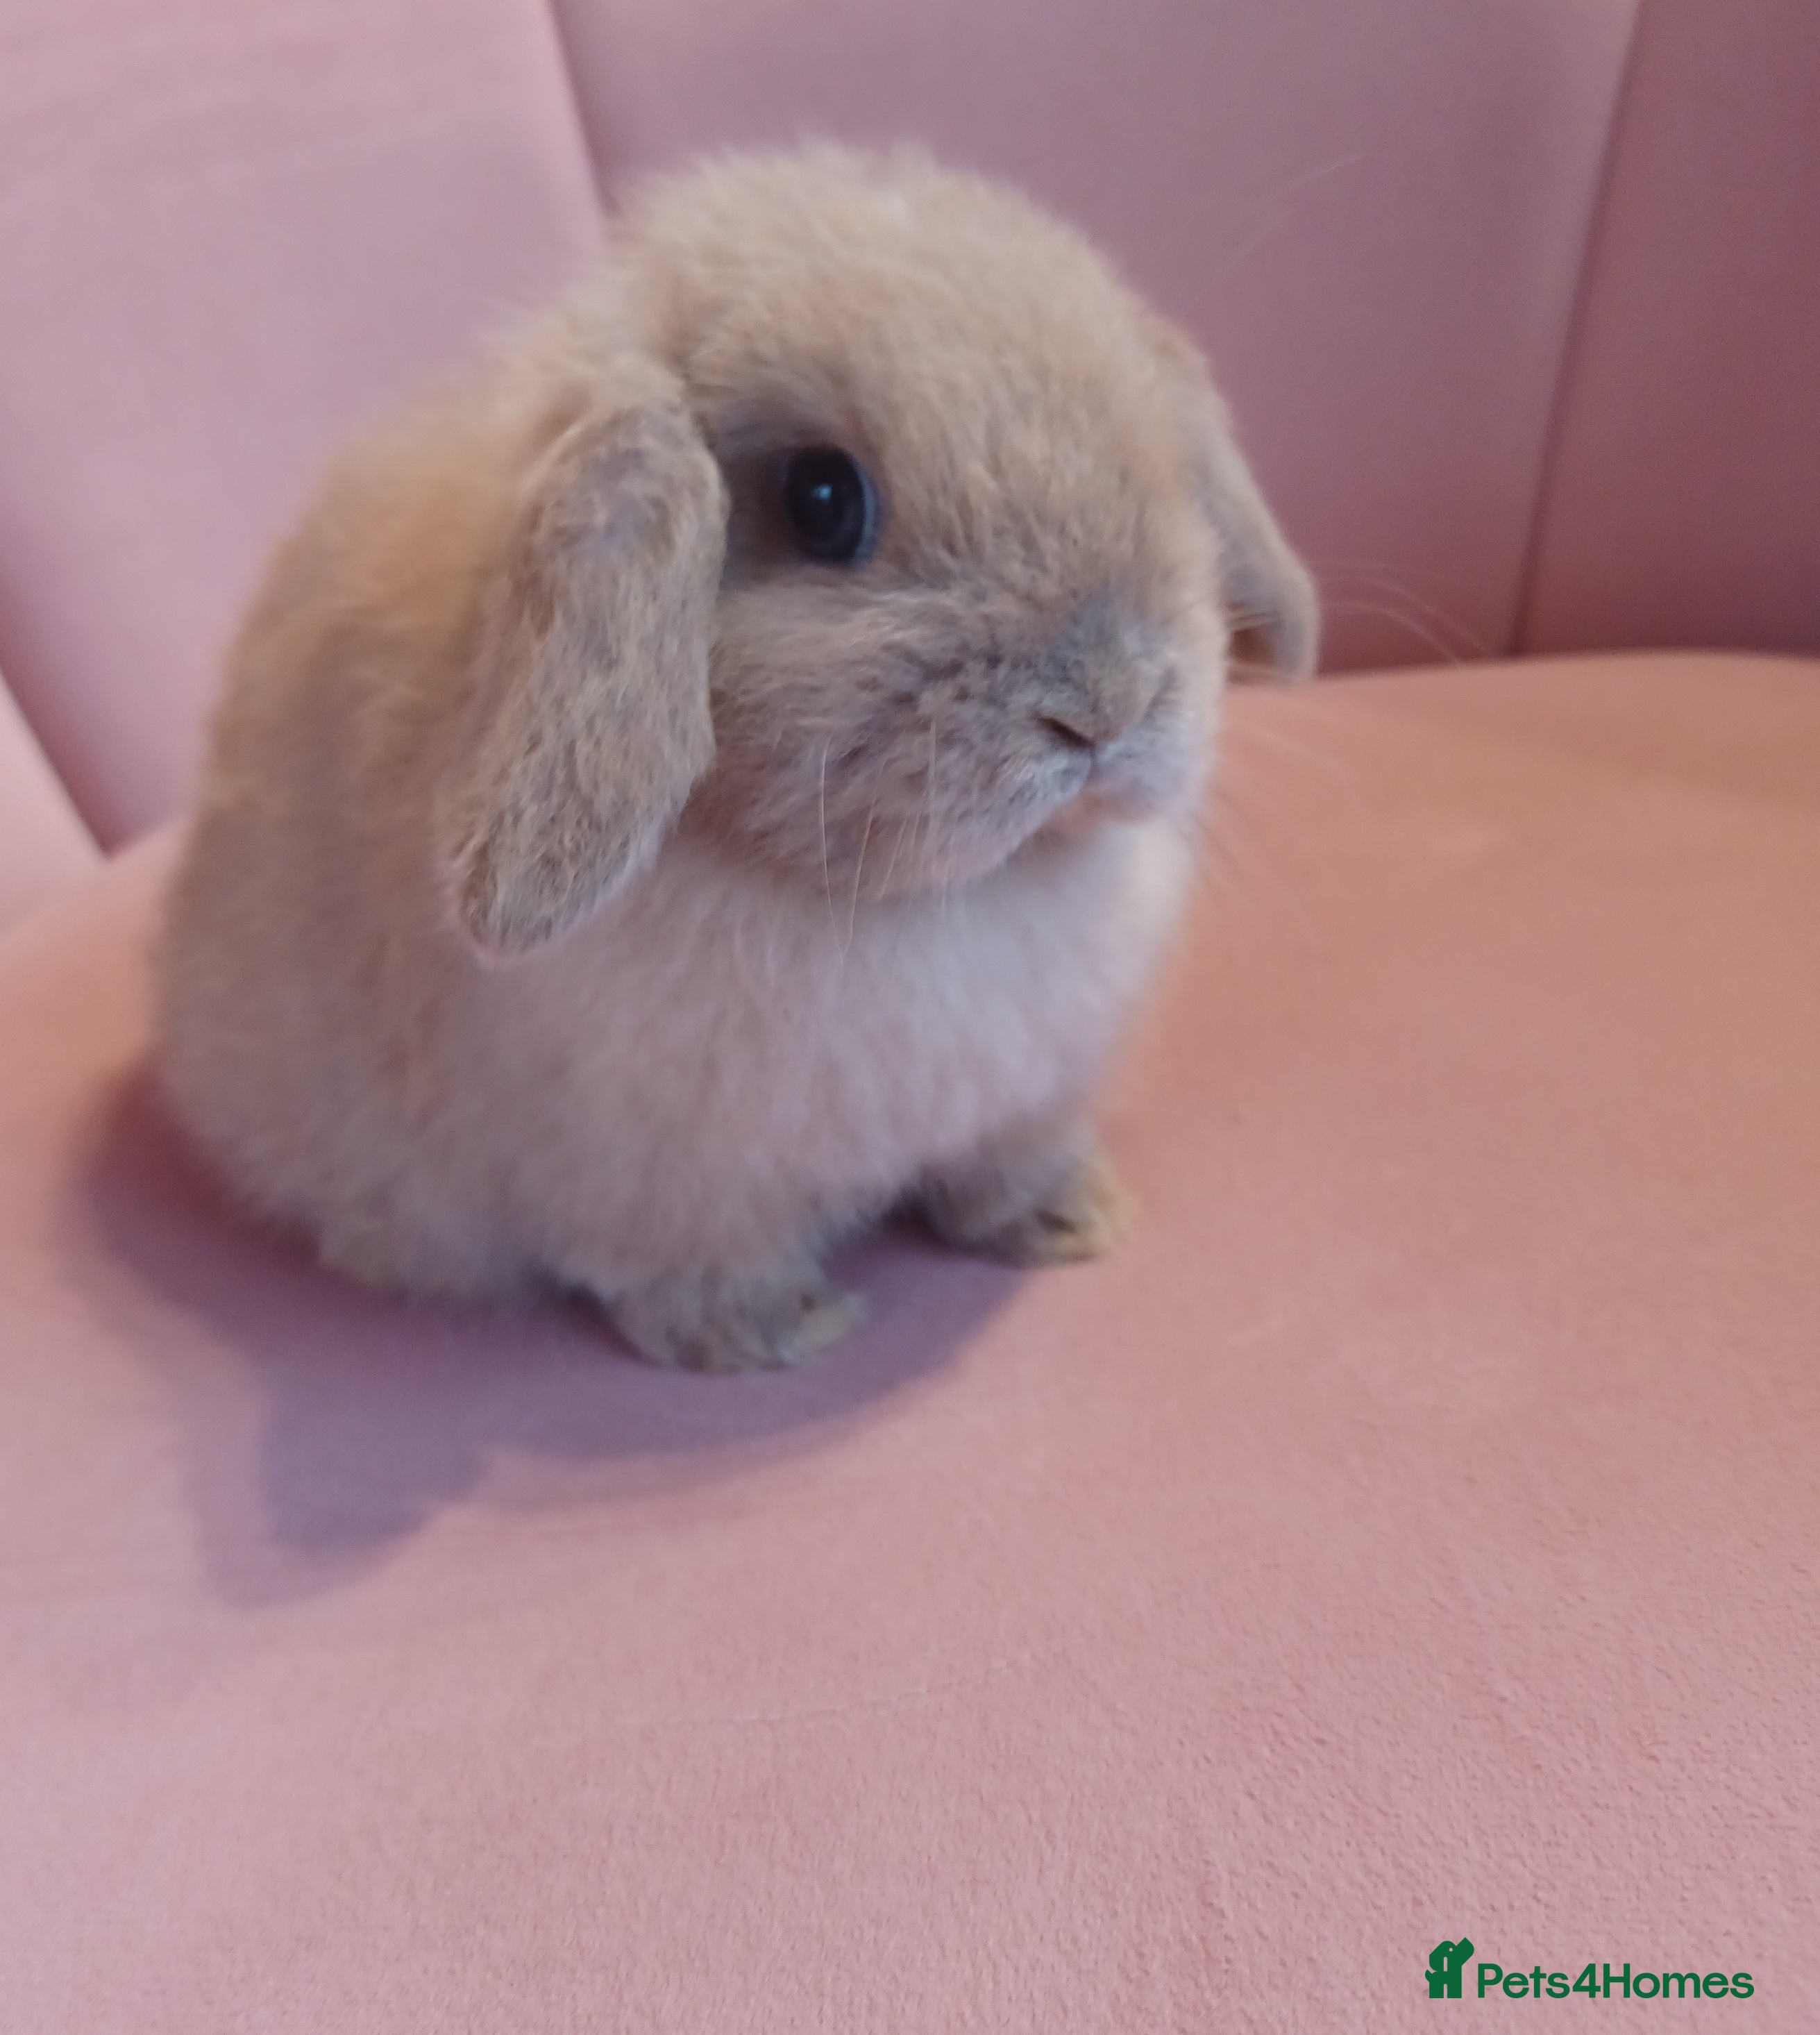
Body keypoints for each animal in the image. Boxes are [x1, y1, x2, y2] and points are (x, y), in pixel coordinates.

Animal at [155, 146, 1317, 1374]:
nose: (1106, 704)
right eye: (822, 499)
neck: (926, 900)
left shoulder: (1029, 1100)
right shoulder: (658, 1187)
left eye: (1157, 467)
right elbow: (693, 1268)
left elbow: (1007, 1165)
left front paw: (1075, 1219)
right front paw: (777, 1329)